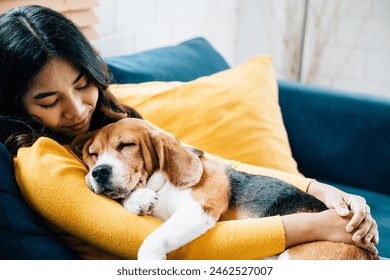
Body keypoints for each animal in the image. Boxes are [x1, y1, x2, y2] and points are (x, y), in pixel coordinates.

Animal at [71, 117, 378, 260]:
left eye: (127, 146)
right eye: (93, 154)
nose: (99, 172)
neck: (163, 183)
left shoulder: (199, 210)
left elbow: (152, 241)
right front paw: (137, 200)